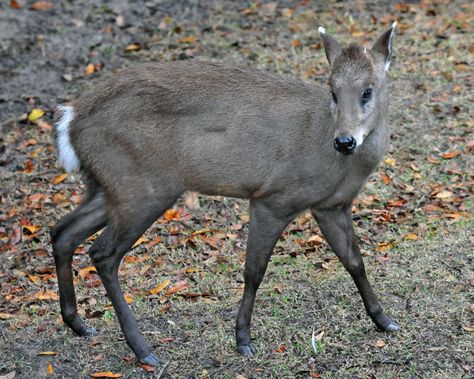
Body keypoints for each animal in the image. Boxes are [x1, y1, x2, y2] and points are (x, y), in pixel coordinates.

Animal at [51, 23, 400, 366]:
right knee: (102, 253)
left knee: (63, 231)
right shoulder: (274, 197)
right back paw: (143, 349)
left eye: (367, 90)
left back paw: (79, 324)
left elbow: (355, 261)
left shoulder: (332, 205)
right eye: (333, 91)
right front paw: (243, 338)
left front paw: (384, 321)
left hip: (112, 187)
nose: (344, 141)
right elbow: (254, 270)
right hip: (142, 188)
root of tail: (71, 120)